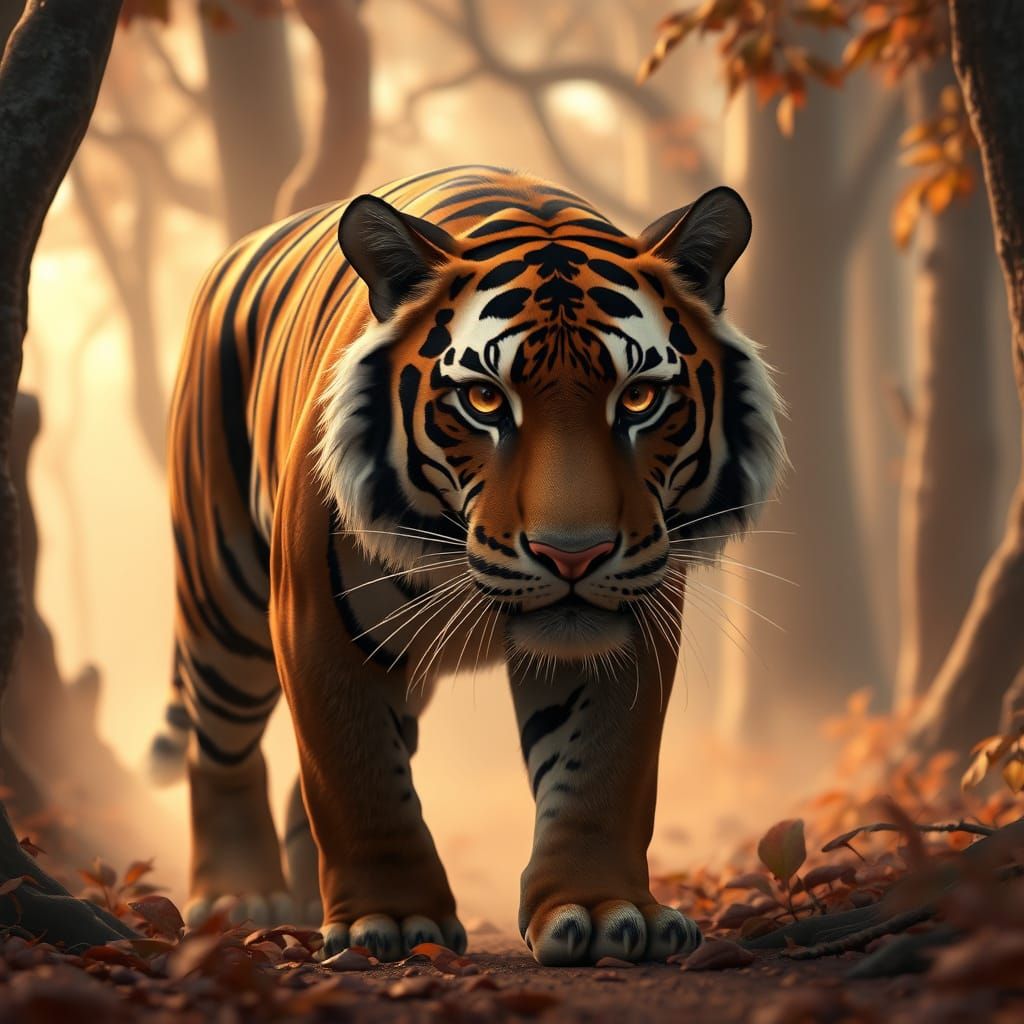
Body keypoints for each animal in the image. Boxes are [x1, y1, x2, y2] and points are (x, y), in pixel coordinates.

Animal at [149, 164, 785, 966]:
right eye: (484, 399)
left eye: (640, 397)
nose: (572, 554)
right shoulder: (316, 622)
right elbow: (359, 777)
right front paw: (389, 920)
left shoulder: (626, 625)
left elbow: (599, 772)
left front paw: (601, 908)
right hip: (223, 599)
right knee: (221, 746)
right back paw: (240, 895)